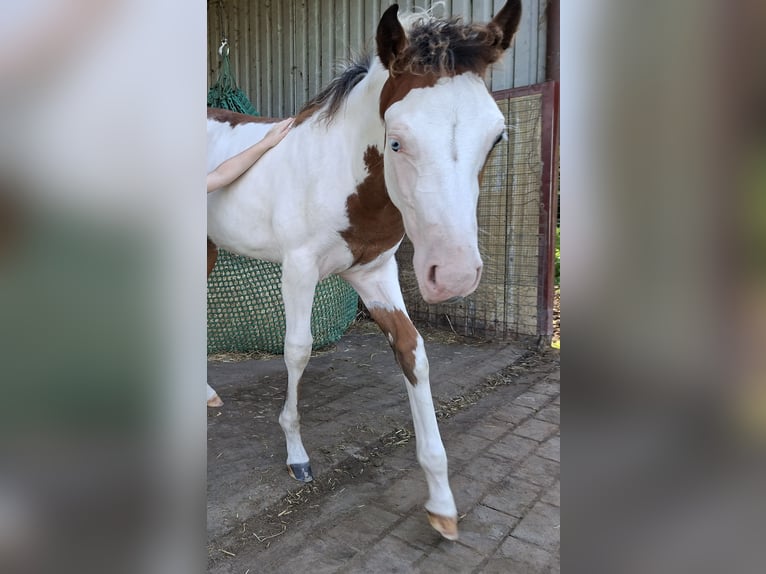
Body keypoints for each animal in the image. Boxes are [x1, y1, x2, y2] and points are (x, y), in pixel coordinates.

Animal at [206, 1, 522, 540]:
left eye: (496, 138)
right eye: (396, 141)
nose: (454, 275)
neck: (340, 176)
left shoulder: (376, 276)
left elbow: (412, 351)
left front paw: (441, 501)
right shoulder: (298, 270)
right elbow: (298, 351)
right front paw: (297, 455)